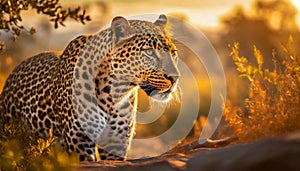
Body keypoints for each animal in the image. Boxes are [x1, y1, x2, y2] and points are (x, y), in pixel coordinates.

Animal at [0, 14, 179, 162]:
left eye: (173, 53)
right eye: (149, 52)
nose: (175, 77)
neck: (115, 92)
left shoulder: (117, 142)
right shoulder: (79, 141)